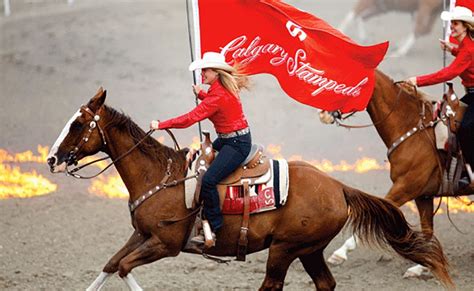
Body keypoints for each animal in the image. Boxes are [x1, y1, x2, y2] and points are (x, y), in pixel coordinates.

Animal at [47, 89, 452, 291]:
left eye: (78, 124)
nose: (52, 159)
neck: (159, 176)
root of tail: (338, 187)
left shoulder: (166, 244)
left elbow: (124, 268)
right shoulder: (141, 235)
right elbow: (111, 265)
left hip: (285, 249)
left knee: (272, 286)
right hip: (309, 250)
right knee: (325, 283)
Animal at [328, 70, 472, 278]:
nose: (325, 112)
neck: (412, 129)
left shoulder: (405, 187)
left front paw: (339, 253)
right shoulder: (422, 196)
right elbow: (427, 231)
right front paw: (422, 267)